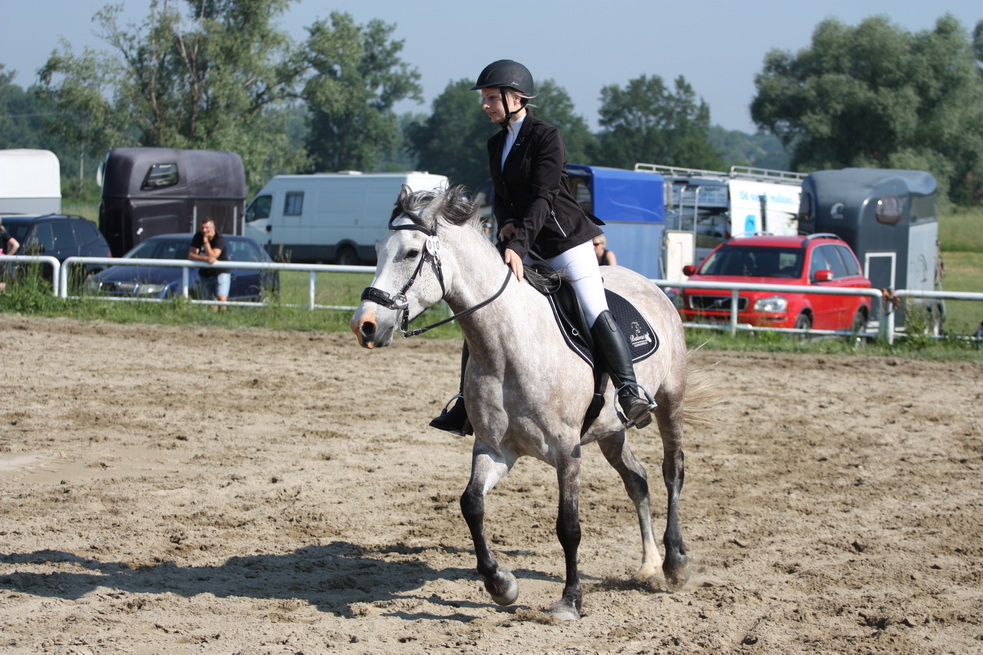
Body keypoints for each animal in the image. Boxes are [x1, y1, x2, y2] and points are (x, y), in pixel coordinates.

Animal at [351, 185, 691, 620]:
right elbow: (471, 504)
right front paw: (501, 585)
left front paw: (570, 599)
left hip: (670, 398)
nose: (364, 325)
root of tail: (650, 286)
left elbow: (569, 526)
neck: (506, 344)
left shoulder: (567, 450)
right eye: (378, 249)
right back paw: (649, 564)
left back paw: (675, 563)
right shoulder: (495, 448)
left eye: (411, 253)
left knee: (672, 470)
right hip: (609, 430)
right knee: (637, 479)